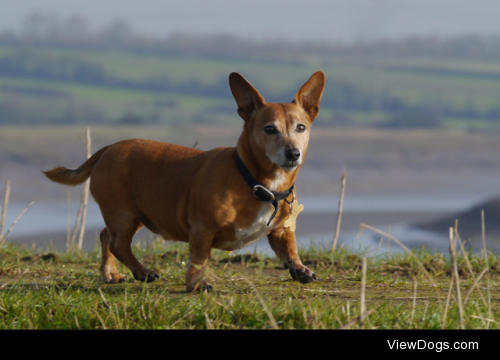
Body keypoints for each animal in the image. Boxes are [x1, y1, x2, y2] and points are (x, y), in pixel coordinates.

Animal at [45, 71, 326, 292]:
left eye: (301, 128)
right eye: (269, 129)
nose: (293, 154)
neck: (257, 183)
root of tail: (107, 148)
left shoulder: (281, 231)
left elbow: (290, 250)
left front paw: (299, 269)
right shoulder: (202, 228)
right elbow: (199, 258)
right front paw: (196, 283)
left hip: (136, 214)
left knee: (106, 237)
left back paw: (110, 274)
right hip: (124, 214)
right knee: (118, 244)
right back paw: (143, 272)